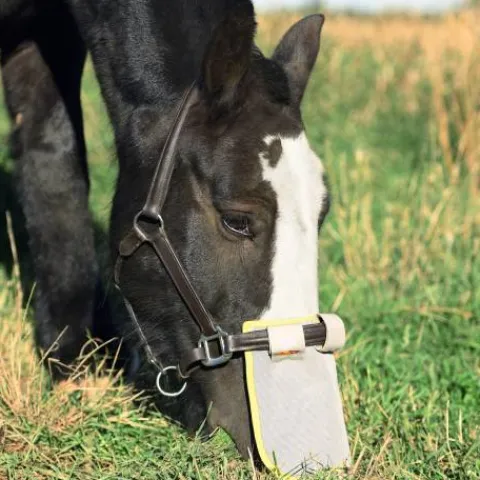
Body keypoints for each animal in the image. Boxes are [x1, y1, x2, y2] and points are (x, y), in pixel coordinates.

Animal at [1, 0, 329, 458]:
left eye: (322, 214)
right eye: (237, 221)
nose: (300, 424)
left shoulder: (48, 35)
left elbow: (53, 167)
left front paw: (73, 365)